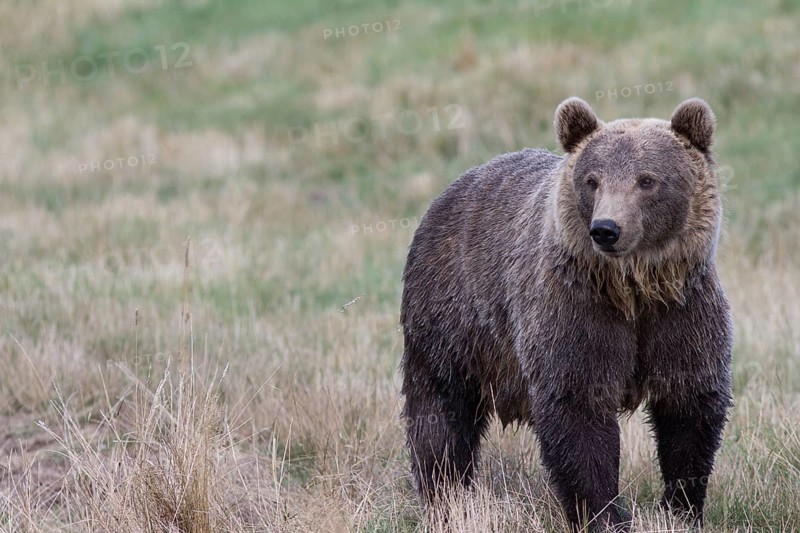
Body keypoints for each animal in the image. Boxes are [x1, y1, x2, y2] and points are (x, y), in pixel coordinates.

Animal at [400, 97, 733, 531]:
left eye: (647, 180)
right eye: (593, 180)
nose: (606, 228)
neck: (634, 289)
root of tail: (449, 191)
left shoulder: (680, 313)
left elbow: (689, 407)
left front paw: (681, 508)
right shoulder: (575, 311)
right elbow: (578, 410)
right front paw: (604, 514)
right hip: (451, 315)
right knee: (440, 408)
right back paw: (447, 497)